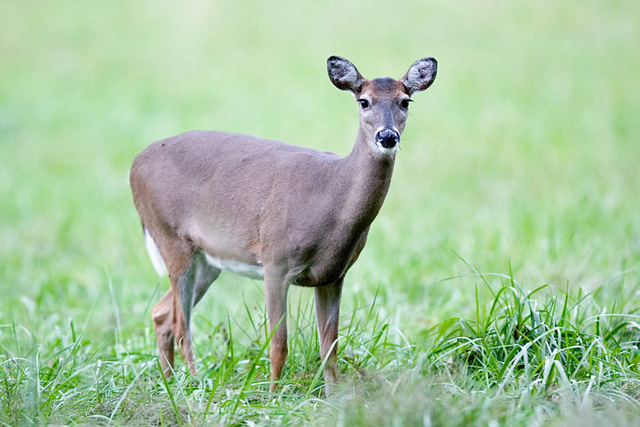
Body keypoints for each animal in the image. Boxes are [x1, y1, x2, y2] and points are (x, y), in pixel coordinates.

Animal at [129, 55, 437, 394]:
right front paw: (274, 396)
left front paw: (333, 397)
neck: (332, 200)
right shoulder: (275, 261)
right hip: (169, 236)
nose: (388, 137)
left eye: (405, 101)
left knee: (162, 313)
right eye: (364, 101)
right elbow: (279, 343)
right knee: (181, 324)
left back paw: (169, 381)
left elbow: (330, 346)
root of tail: (135, 163)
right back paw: (194, 384)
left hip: (207, 259)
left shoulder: (334, 274)